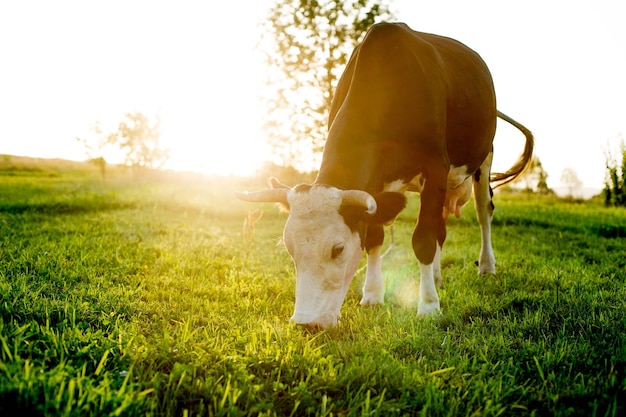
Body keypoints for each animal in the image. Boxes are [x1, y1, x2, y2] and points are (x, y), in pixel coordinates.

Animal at [236, 22, 532, 328]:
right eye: (289, 247)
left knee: (483, 211)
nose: (306, 323)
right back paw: (437, 277)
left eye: (338, 248)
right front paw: (373, 294)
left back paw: (485, 267)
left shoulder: (435, 168)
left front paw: (428, 305)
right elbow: (375, 237)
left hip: (484, 158)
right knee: (441, 227)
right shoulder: (375, 188)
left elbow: (423, 239)